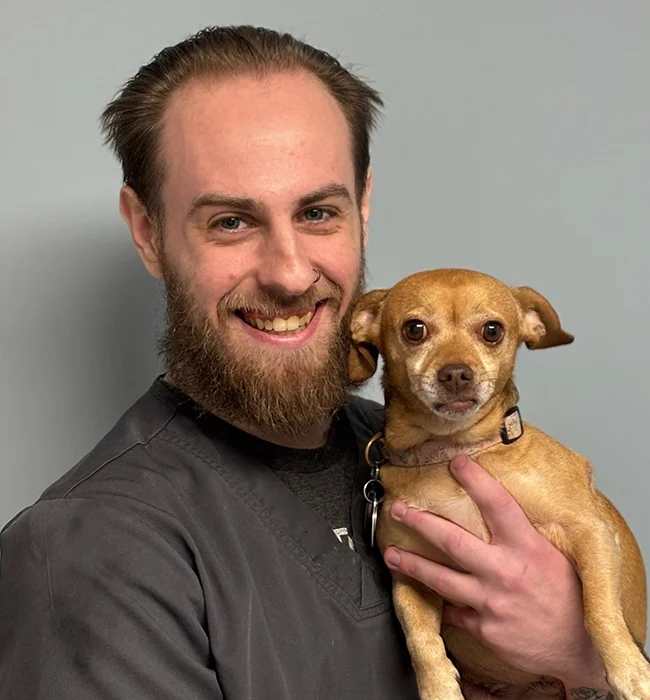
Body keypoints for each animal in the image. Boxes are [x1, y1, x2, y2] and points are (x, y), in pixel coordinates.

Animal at [350, 270, 648, 700]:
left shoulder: (590, 532)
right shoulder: (410, 581)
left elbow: (599, 608)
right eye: (414, 329)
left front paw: (629, 669)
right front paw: (438, 689)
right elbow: (420, 641)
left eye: (492, 331)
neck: (453, 451)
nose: (456, 373)